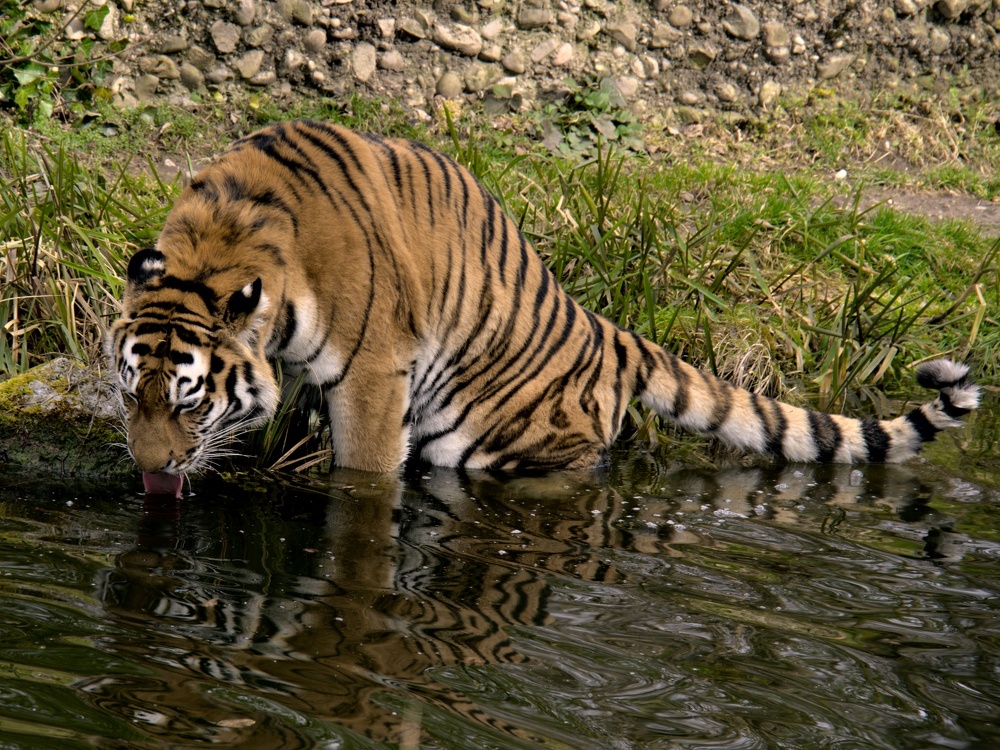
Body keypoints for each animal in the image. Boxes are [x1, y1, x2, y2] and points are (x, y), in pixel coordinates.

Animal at [105, 120, 980, 494]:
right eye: (128, 394)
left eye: (190, 400)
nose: (149, 470)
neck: (220, 243)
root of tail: (607, 330)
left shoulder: (375, 375)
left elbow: (362, 472)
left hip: (487, 437)